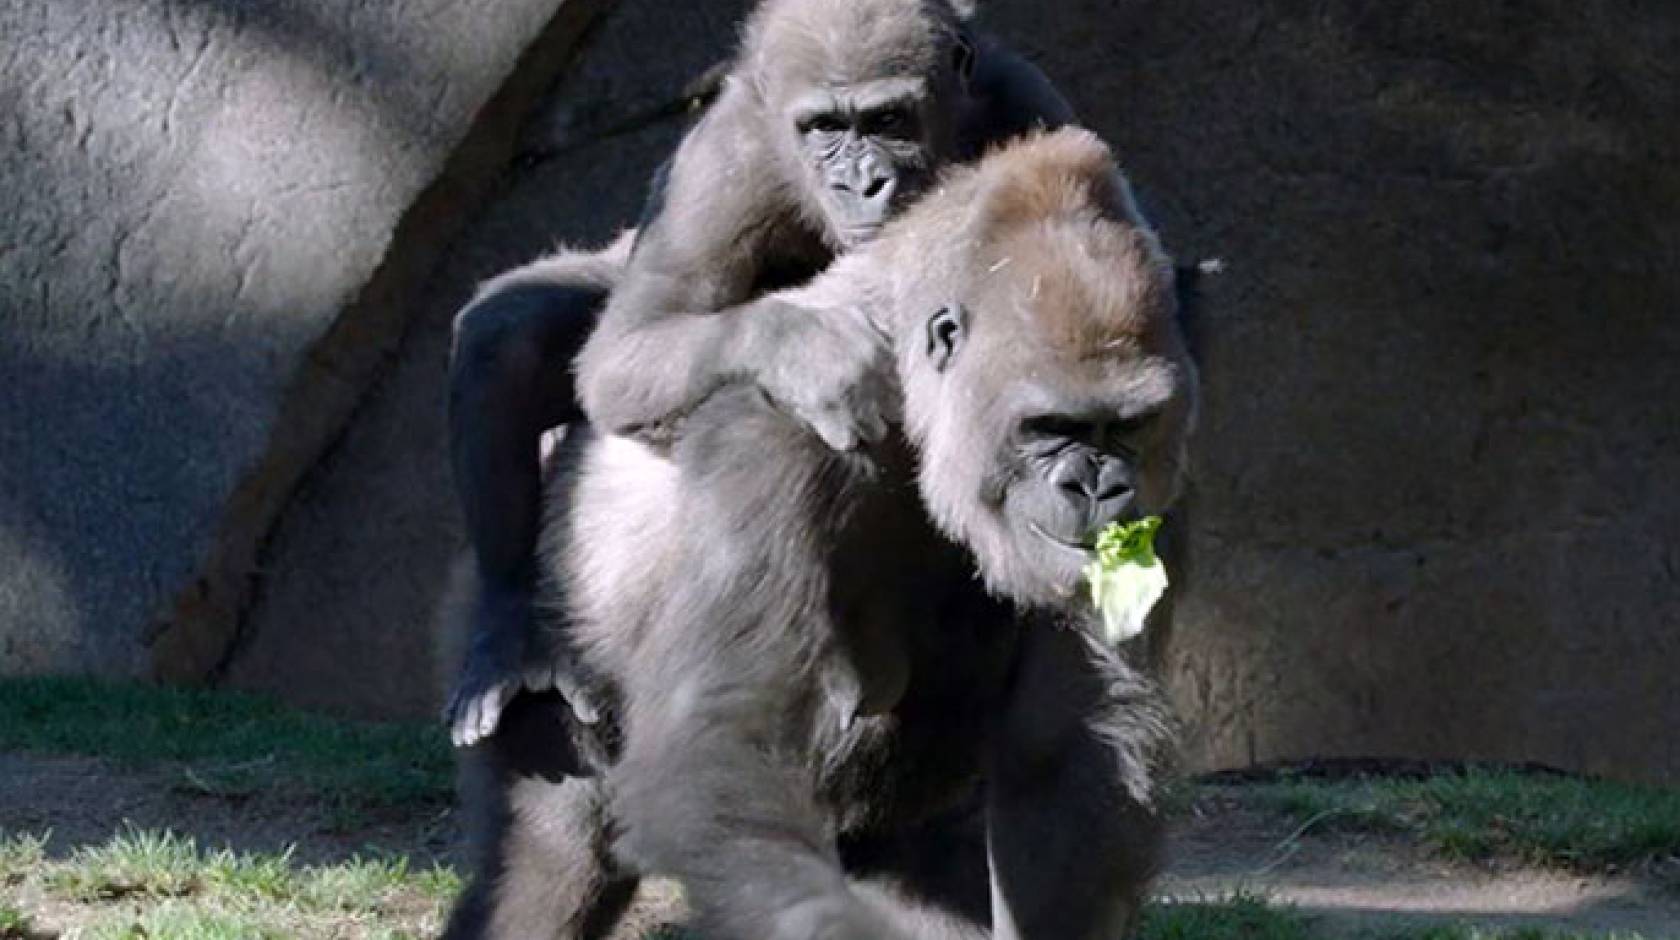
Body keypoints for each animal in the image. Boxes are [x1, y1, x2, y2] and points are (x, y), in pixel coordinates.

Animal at [441, 127, 1198, 940]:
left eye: (1127, 426)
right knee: (556, 855)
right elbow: (718, 745)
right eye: (1048, 427)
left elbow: (1072, 742)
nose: (1096, 486)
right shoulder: (777, 424)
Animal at [444, 0, 1078, 747]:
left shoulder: (1026, 103)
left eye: (889, 120)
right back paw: (510, 636)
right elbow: (623, 353)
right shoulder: (717, 167)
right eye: (824, 128)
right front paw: (809, 350)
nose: (862, 182)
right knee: (507, 337)